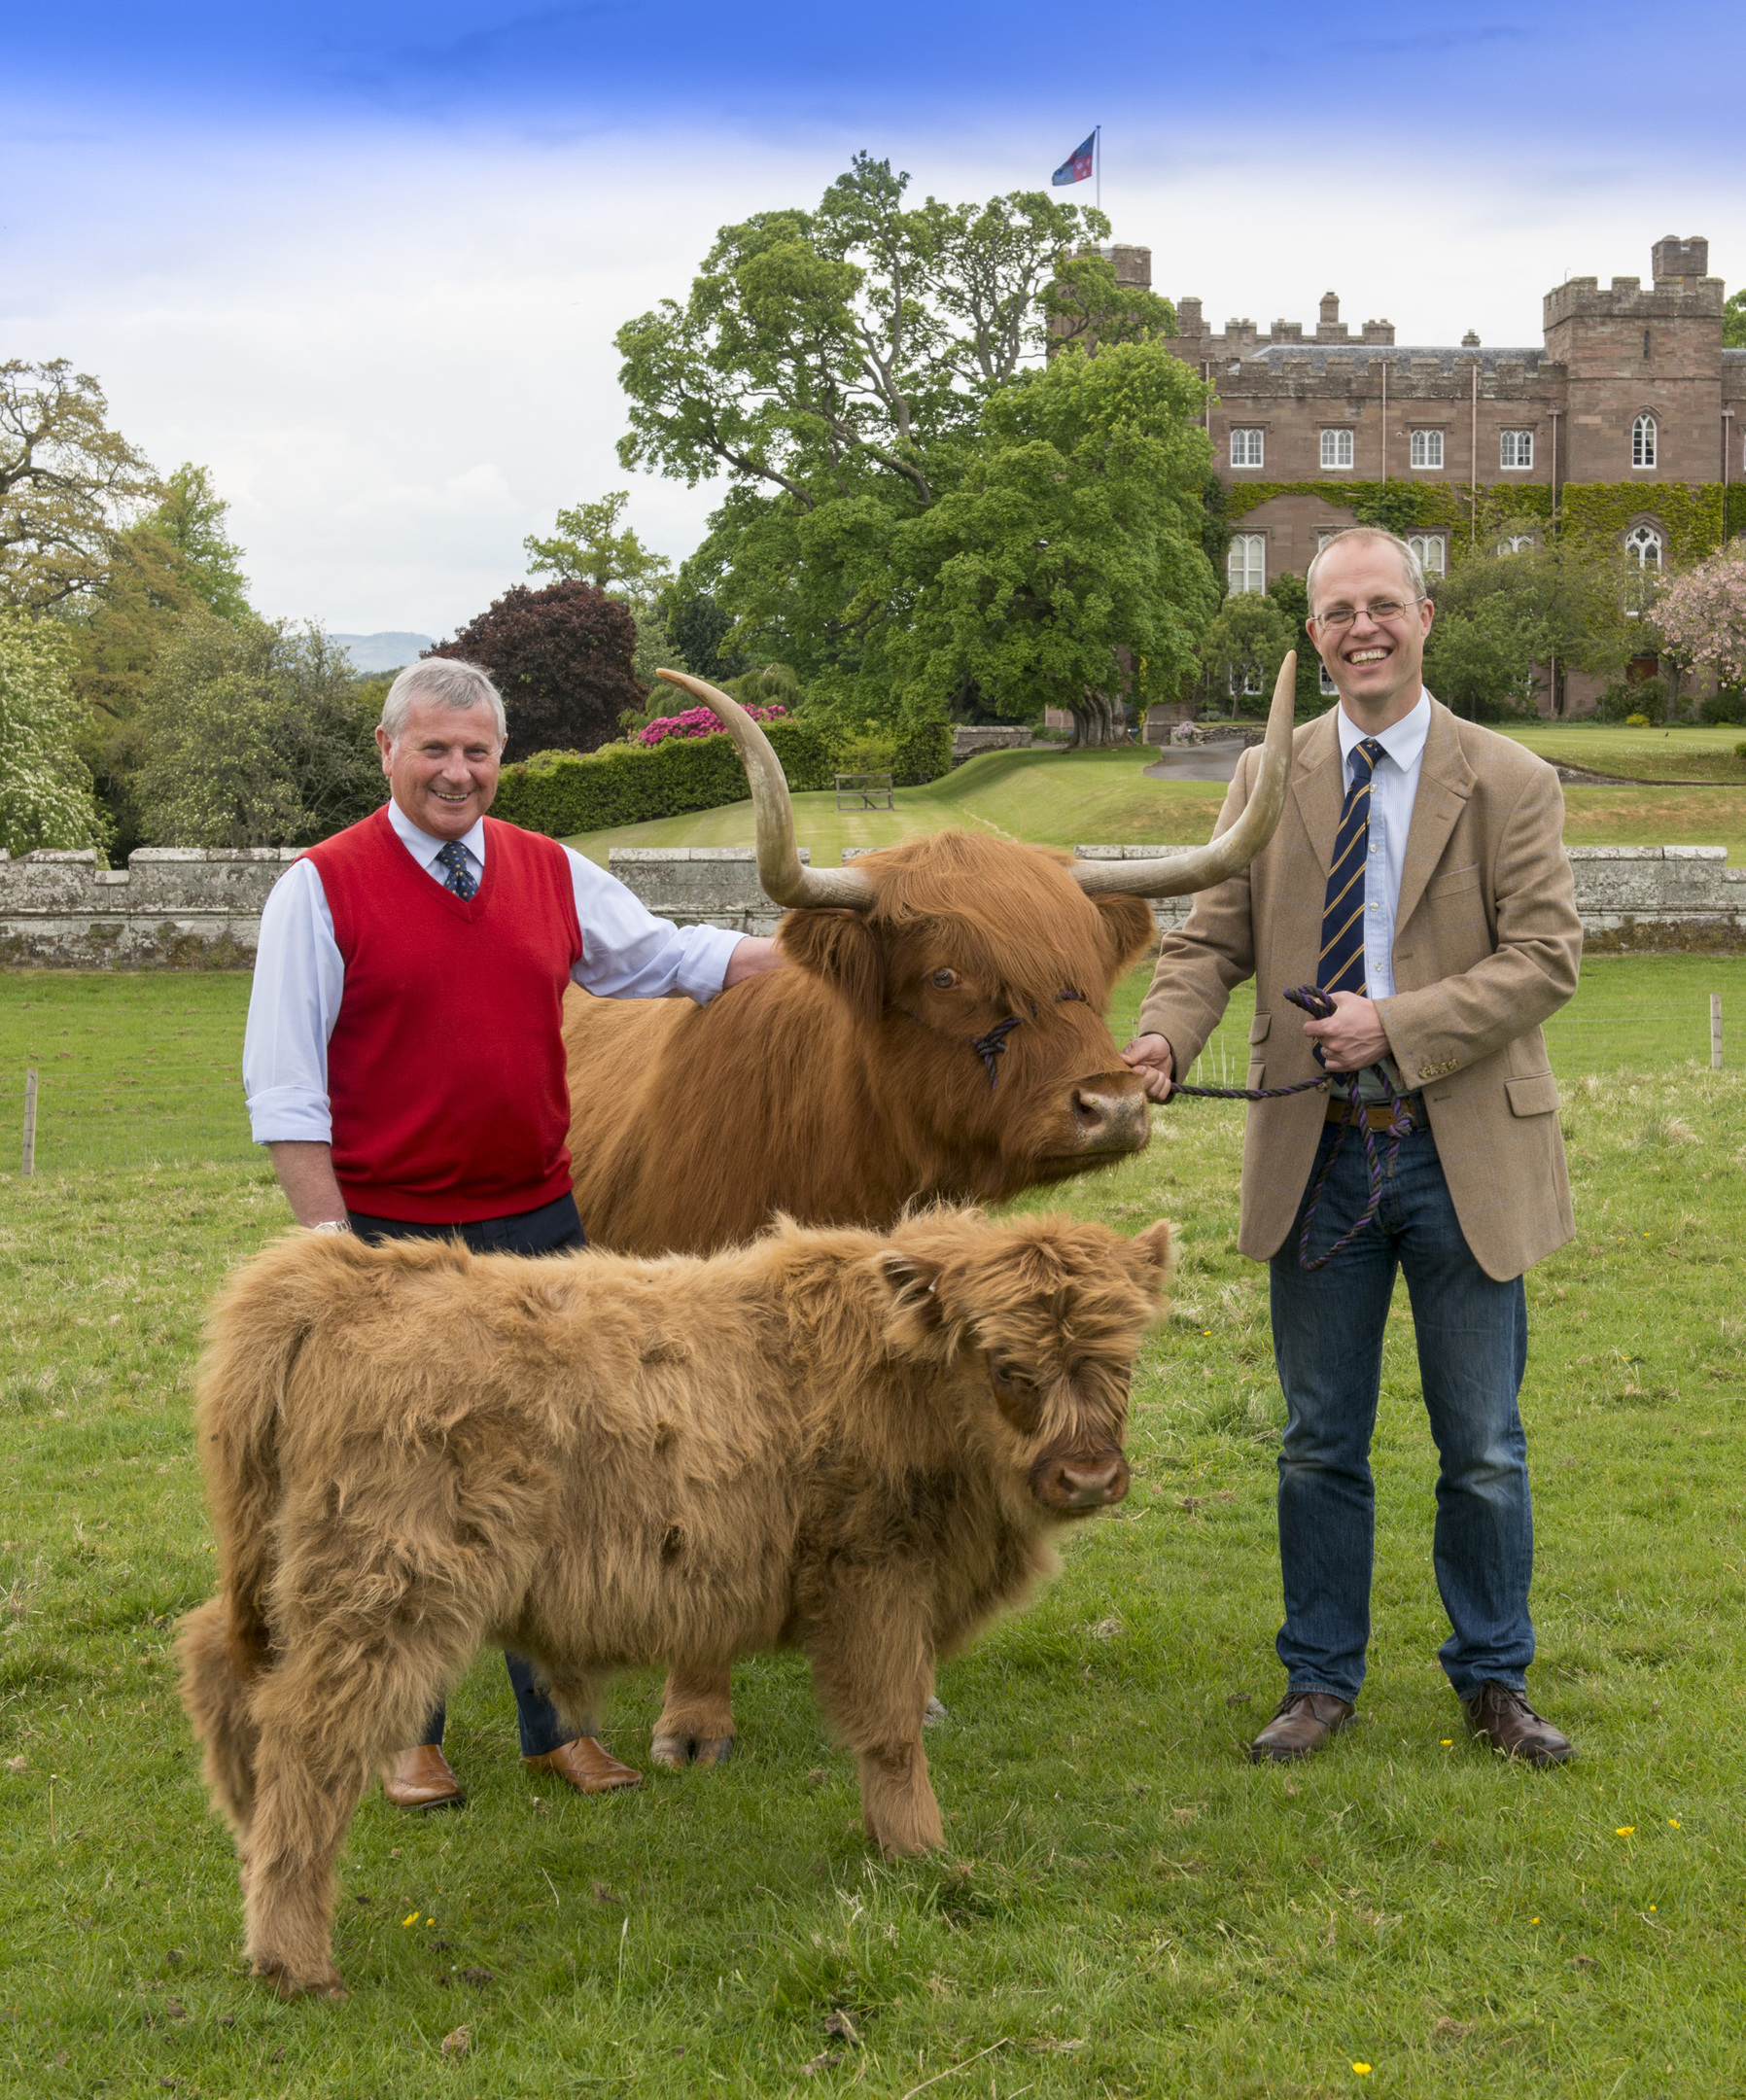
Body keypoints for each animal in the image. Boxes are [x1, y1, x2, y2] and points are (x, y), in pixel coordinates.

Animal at [177, 1209, 1176, 1990]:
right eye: (1008, 1366)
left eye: (1122, 1360)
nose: (1089, 1477)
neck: (908, 1380)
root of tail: (338, 1280)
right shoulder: (874, 1578)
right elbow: (891, 1731)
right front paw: (923, 1855)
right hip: (385, 1589)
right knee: (308, 1737)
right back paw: (295, 1959)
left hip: (282, 1579)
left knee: (219, 1666)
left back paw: (247, 1846)